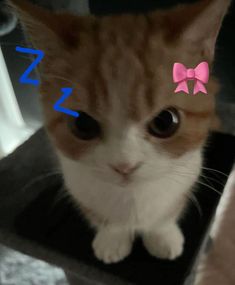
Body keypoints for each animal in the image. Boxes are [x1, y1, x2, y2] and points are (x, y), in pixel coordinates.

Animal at [10, 0, 230, 262]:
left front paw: (163, 236)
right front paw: (112, 239)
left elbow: (166, 215)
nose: (124, 166)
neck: (132, 199)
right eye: (82, 124)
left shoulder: (188, 175)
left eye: (166, 122)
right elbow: (103, 218)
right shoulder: (77, 185)